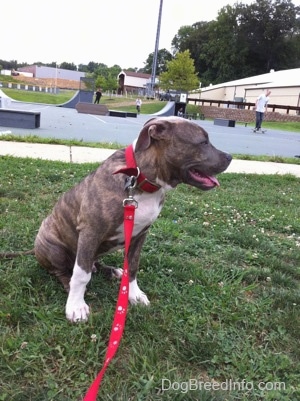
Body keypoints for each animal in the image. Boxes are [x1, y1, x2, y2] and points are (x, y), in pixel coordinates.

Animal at [34, 114, 232, 320]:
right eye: (203, 142)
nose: (230, 157)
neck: (140, 179)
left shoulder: (140, 235)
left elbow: (133, 266)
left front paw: (134, 294)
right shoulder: (91, 232)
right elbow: (81, 275)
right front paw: (76, 305)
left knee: (93, 263)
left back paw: (111, 271)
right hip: (54, 247)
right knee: (64, 270)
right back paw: (69, 283)